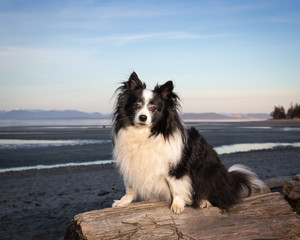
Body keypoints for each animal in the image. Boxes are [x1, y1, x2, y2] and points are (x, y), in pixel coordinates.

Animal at [111, 71, 266, 214]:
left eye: (153, 109)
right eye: (136, 106)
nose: (143, 117)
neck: (145, 134)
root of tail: (229, 179)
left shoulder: (176, 167)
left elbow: (176, 187)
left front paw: (177, 205)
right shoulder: (132, 165)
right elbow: (130, 188)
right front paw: (123, 202)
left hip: (207, 171)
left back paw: (204, 201)